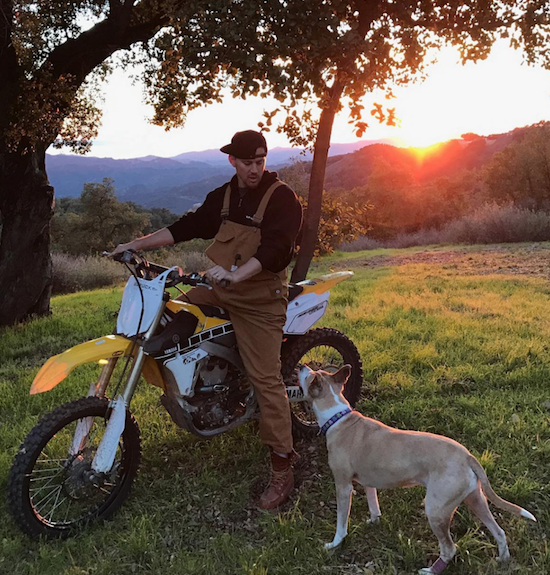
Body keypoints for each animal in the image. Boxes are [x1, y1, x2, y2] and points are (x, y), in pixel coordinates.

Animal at [302, 366, 540, 572]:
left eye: (309, 376)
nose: (302, 366)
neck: (338, 419)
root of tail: (467, 456)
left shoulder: (343, 485)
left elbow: (341, 522)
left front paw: (335, 544)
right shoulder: (368, 481)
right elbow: (373, 503)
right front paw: (374, 520)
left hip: (436, 509)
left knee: (449, 548)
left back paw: (430, 571)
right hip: (476, 499)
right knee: (499, 532)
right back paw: (503, 559)